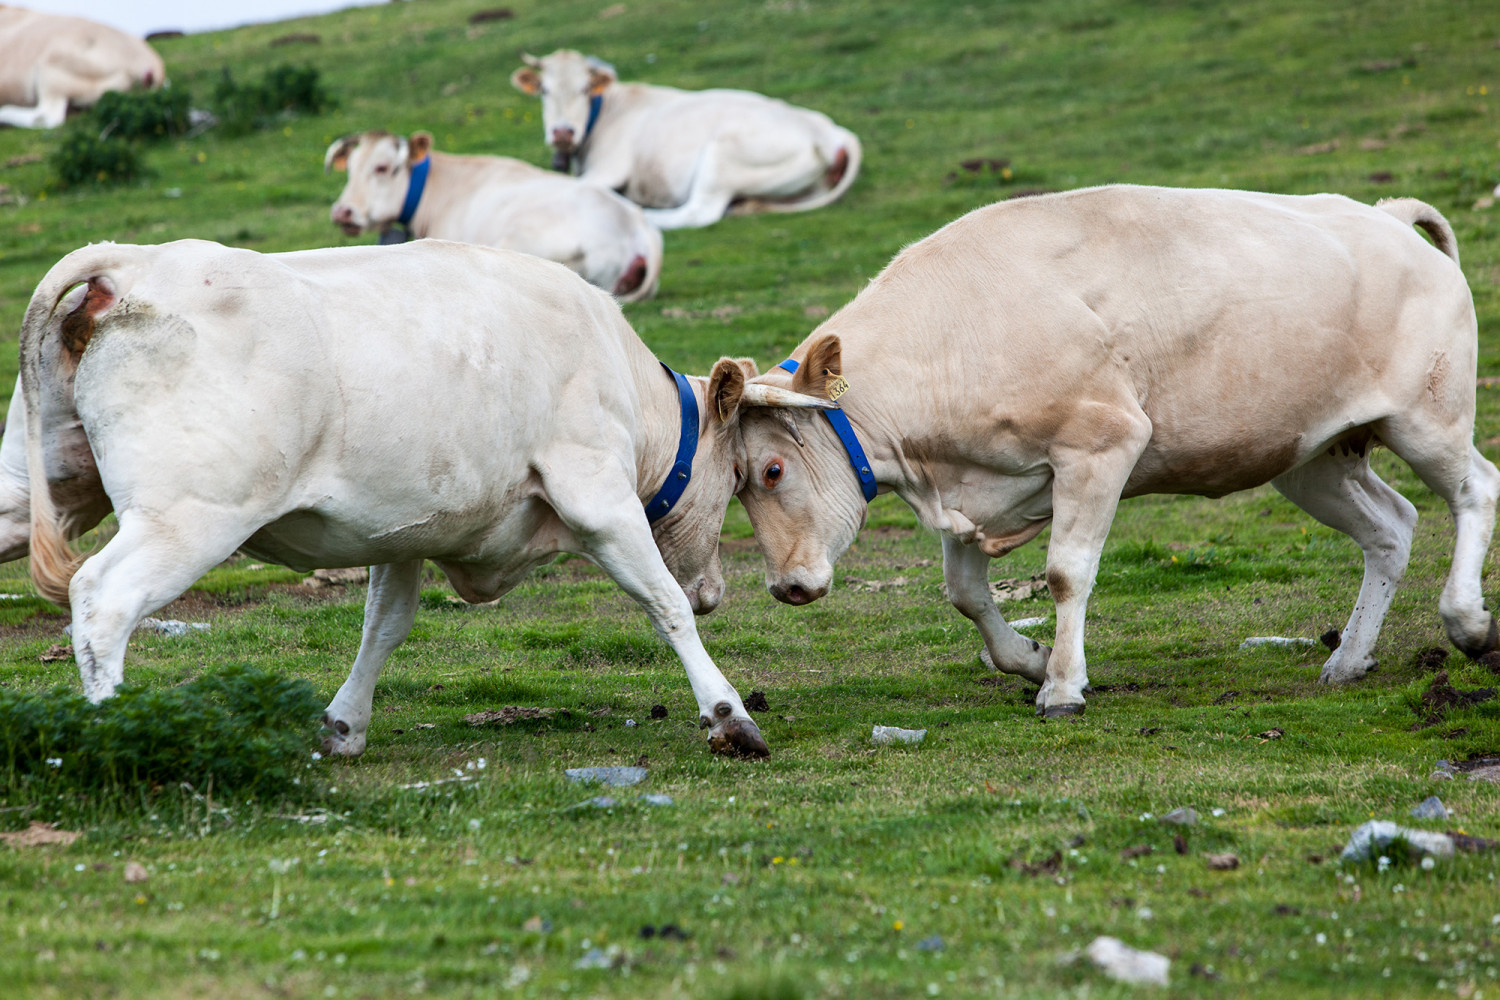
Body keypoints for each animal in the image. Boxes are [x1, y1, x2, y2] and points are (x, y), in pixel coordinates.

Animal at [19, 238, 771, 757]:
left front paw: (344, 724)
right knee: (102, 600)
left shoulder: (401, 528)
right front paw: (728, 716)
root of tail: (140, 262)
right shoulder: (595, 492)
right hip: (189, 518)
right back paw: (118, 732)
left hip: (36, 488)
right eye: (742, 474)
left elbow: (384, 625)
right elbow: (664, 605)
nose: (716, 589)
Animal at [510, 50, 861, 230]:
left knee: (699, 212)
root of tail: (831, 131)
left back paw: (644, 213)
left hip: (724, 154)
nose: (562, 132)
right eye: (544, 90)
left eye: (584, 89)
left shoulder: (609, 167)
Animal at [713, 185, 1499, 718]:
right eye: (734, 479)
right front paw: (1030, 661)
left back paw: (1466, 620)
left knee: (1476, 488)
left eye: (773, 470)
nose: (786, 586)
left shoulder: (1100, 445)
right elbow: (966, 595)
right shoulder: (972, 491)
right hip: (1312, 456)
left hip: (1428, 419)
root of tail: (1387, 216)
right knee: (1391, 527)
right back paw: (1349, 659)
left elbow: (1066, 573)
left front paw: (1062, 685)